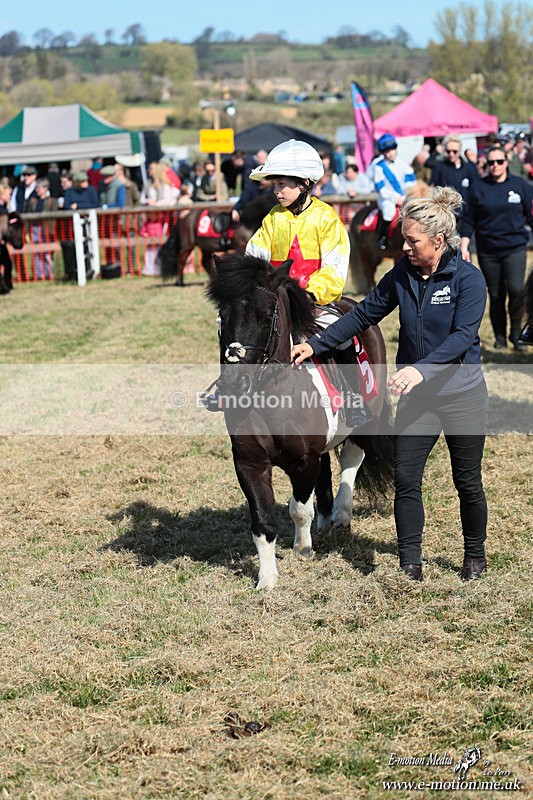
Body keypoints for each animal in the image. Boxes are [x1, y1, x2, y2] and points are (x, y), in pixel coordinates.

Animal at [205, 252, 394, 589]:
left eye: (266, 317)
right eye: (221, 318)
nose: (235, 384)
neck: (273, 397)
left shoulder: (303, 461)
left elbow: (299, 509)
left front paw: (302, 549)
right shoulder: (249, 463)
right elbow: (262, 520)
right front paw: (266, 579)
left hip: (366, 423)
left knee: (352, 458)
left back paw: (341, 513)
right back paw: (327, 517)